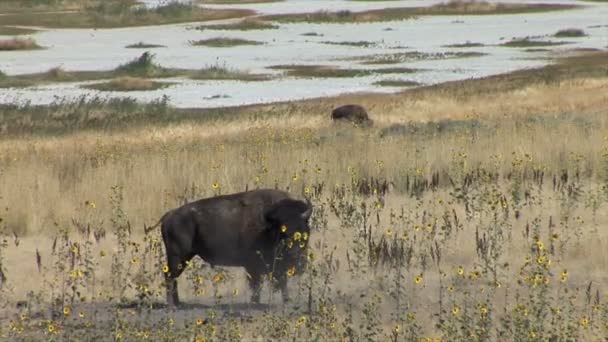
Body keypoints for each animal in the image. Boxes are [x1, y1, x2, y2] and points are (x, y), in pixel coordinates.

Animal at [159, 188, 314, 308]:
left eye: (304, 230)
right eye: (283, 232)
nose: (295, 256)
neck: (268, 226)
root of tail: (169, 215)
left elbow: (280, 282)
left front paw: (286, 300)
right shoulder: (253, 266)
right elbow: (258, 284)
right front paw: (256, 302)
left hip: (184, 257)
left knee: (173, 278)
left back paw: (178, 304)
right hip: (178, 257)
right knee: (169, 276)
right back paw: (172, 306)